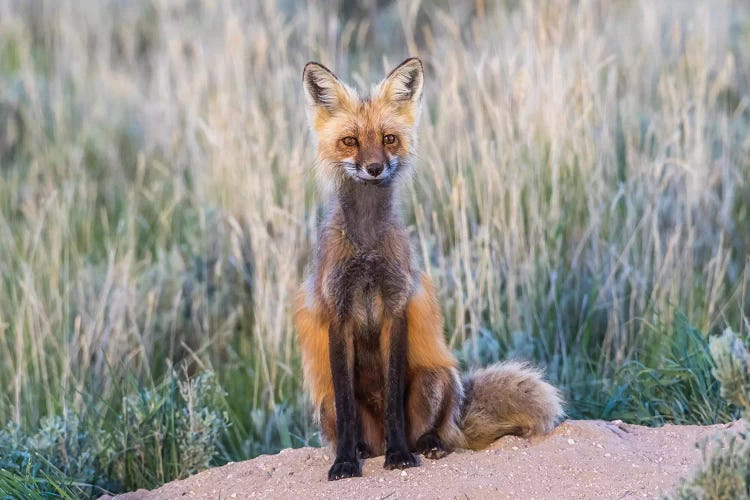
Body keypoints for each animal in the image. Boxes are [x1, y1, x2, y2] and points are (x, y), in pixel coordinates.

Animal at [294, 57, 564, 480]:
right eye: (350, 141)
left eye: (388, 139)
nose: (374, 168)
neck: (367, 250)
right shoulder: (337, 313)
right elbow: (347, 405)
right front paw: (345, 463)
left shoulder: (396, 306)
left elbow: (393, 399)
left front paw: (400, 456)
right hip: (325, 404)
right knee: (353, 426)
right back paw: (361, 450)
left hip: (434, 379)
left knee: (436, 431)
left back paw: (426, 444)